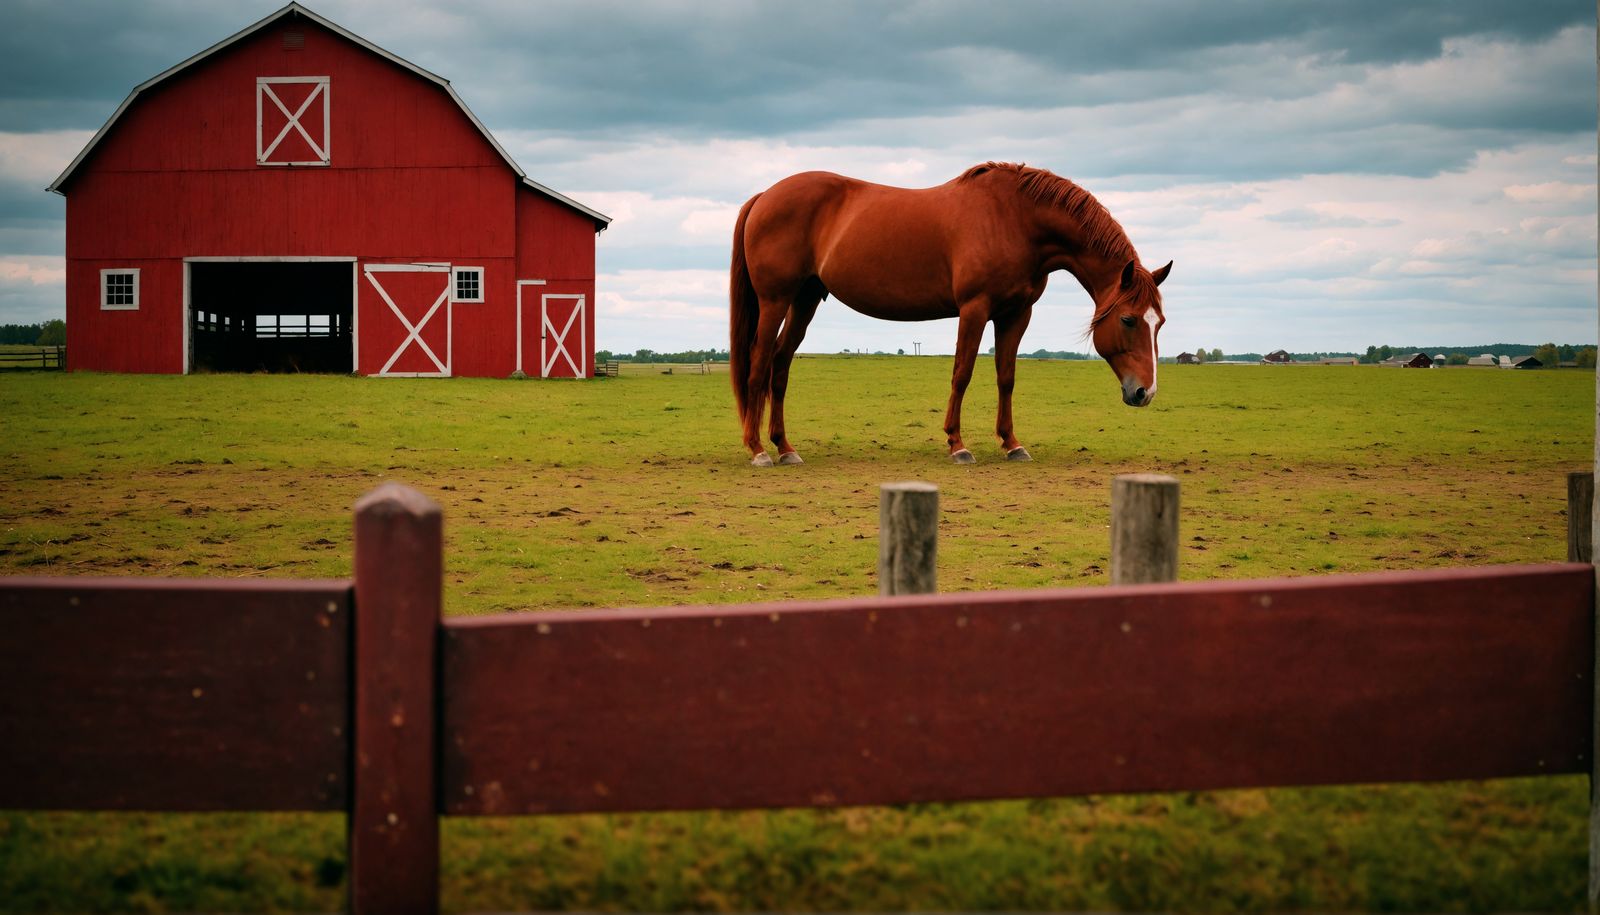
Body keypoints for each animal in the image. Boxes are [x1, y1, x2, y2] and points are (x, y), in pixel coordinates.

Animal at [728, 161, 1172, 466]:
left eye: (1160, 323)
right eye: (1128, 320)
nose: (1144, 393)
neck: (1014, 218)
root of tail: (764, 196)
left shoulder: (1016, 314)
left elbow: (1006, 377)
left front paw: (1012, 444)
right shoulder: (974, 309)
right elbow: (962, 372)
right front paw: (957, 445)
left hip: (804, 300)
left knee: (780, 365)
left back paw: (785, 447)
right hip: (775, 300)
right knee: (759, 363)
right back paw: (758, 450)